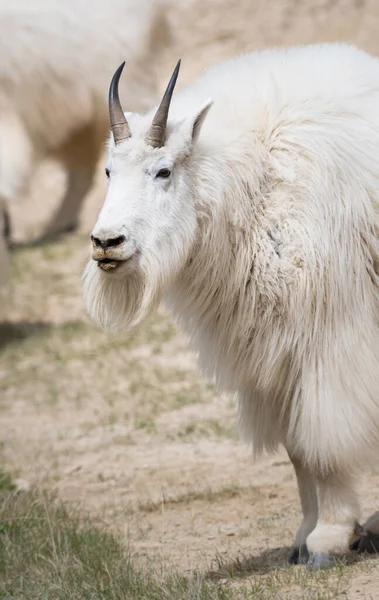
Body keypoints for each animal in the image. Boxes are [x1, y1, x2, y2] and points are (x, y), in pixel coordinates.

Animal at [83, 44, 379, 568]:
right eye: (108, 171)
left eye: (163, 171)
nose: (106, 243)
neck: (253, 194)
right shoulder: (272, 357)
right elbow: (296, 448)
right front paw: (303, 537)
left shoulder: (329, 340)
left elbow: (322, 441)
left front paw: (330, 539)